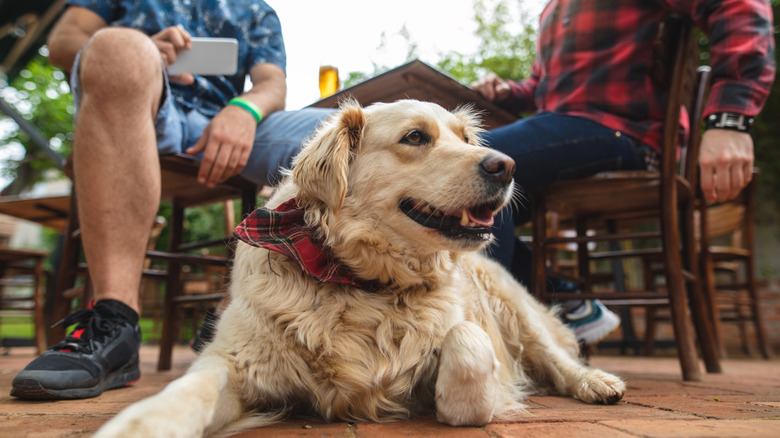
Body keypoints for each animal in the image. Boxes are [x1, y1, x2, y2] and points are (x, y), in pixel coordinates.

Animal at [94, 100, 624, 438]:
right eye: (415, 137)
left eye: (465, 138)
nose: (507, 166)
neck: (363, 281)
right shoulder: (234, 360)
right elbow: (186, 391)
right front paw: (143, 425)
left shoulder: (469, 334)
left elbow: (467, 344)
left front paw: (465, 397)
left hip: (514, 306)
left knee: (556, 358)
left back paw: (596, 383)